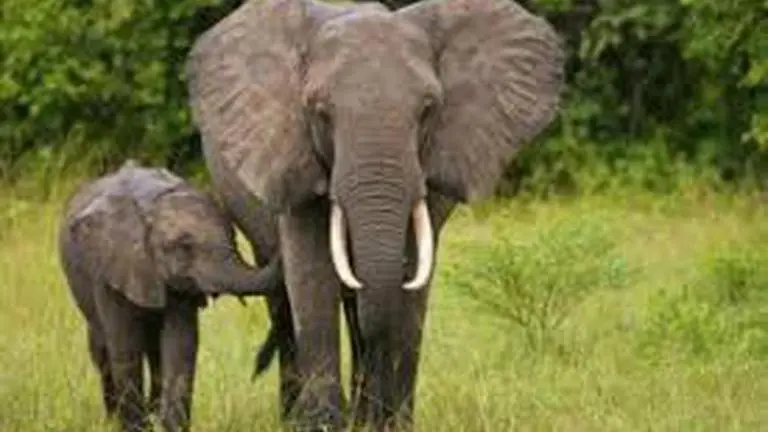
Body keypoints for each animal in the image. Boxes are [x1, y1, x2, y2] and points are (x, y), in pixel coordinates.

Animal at [57, 160, 280, 432]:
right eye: (184, 248)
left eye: (233, 237)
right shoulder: (110, 271)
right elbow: (125, 347)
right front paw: (134, 428)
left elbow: (180, 344)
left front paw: (171, 426)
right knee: (102, 349)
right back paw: (113, 418)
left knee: (154, 353)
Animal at [185, 0, 565, 430]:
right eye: (320, 111)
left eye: (428, 110)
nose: (370, 411)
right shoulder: (292, 152)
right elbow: (311, 276)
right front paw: (324, 425)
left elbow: (411, 284)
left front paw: (389, 424)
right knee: (284, 301)